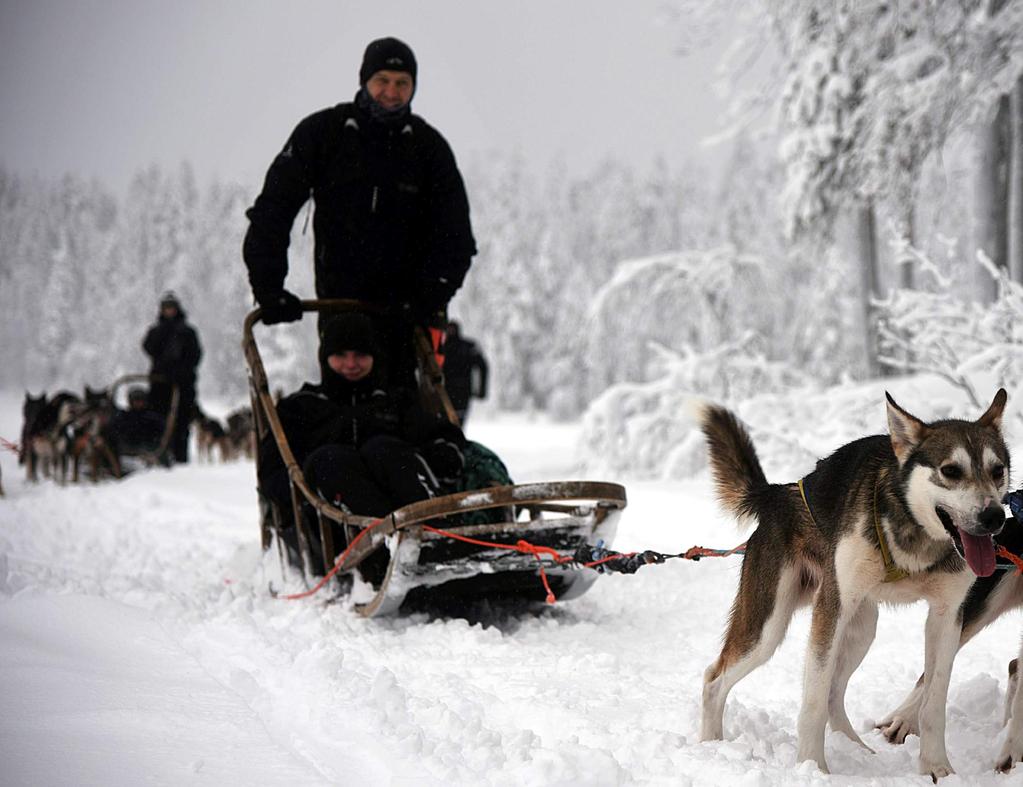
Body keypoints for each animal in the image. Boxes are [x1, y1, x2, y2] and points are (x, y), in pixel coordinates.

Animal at [699, 388, 1010, 777]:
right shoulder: (830, 610)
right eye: (951, 471)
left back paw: (858, 750)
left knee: (835, 692)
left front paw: (937, 769)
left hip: (862, 626)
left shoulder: (947, 615)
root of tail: (777, 493)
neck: (914, 539)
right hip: (768, 629)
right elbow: (813, 702)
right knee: (714, 680)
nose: (994, 516)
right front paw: (812, 767)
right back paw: (709, 747)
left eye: (997, 470)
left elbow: (933, 699)